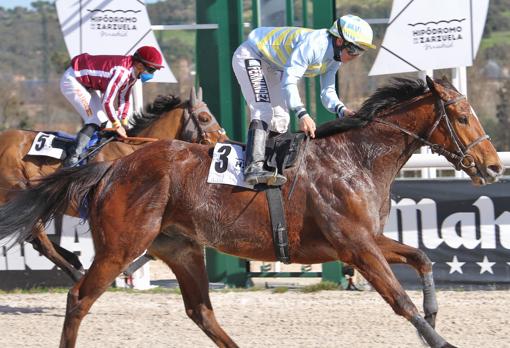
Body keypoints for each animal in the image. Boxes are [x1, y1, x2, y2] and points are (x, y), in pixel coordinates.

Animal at [0, 88, 225, 282]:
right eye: (205, 118)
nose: (224, 141)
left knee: (33, 238)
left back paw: (74, 261)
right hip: (19, 194)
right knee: (39, 240)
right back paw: (76, 273)